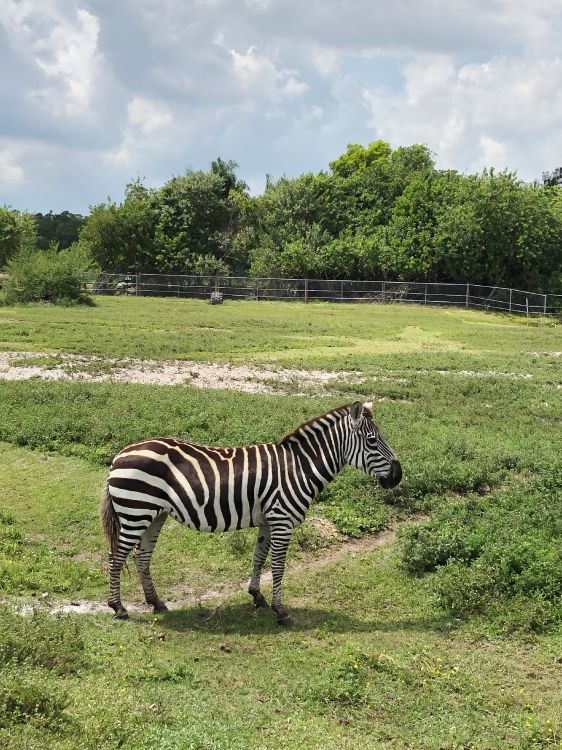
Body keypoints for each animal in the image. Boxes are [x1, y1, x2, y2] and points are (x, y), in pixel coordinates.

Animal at [100, 402, 398, 624]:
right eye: (373, 441)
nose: (399, 476)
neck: (299, 467)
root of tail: (119, 455)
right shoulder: (282, 520)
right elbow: (278, 565)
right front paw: (281, 612)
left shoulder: (268, 520)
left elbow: (259, 558)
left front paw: (257, 596)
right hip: (136, 510)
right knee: (116, 557)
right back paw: (118, 608)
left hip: (154, 514)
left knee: (141, 557)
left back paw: (156, 602)